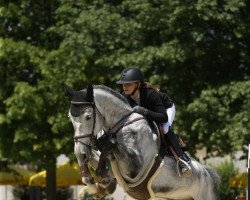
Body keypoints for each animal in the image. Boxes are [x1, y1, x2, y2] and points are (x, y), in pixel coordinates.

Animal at [64, 83, 219, 199]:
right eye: (70, 118)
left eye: (88, 117)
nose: (80, 153)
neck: (121, 123)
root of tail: (206, 172)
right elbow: (94, 157)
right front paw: (97, 185)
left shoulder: (134, 168)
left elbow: (111, 145)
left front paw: (104, 182)